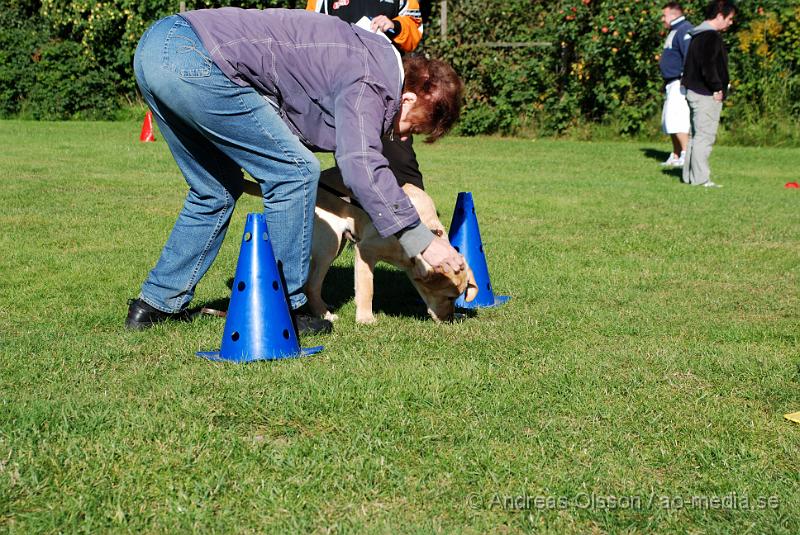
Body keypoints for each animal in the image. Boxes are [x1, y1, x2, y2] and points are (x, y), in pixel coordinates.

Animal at [241, 178, 472, 324]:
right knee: (311, 285)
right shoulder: (365, 250)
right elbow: (367, 288)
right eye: (449, 297)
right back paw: (325, 315)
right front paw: (365, 318)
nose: (450, 319)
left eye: (457, 297)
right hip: (330, 245)